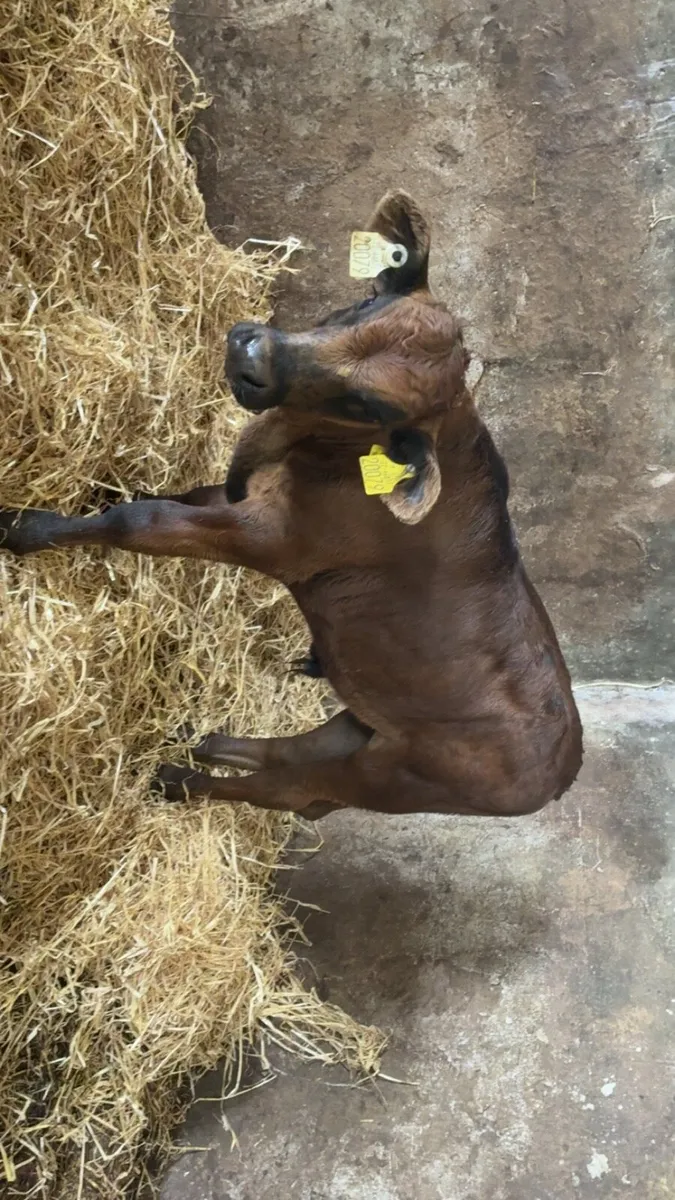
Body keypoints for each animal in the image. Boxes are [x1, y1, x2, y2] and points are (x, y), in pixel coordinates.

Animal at [0, 191, 583, 822]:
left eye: (366, 405)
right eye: (367, 300)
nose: (252, 350)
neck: (297, 446)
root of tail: (562, 770)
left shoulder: (271, 539)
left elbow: (140, 521)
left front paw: (22, 527)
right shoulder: (243, 494)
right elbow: (166, 497)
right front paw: (95, 490)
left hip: (386, 777)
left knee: (287, 788)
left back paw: (175, 780)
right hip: (362, 724)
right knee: (287, 754)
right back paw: (195, 738)